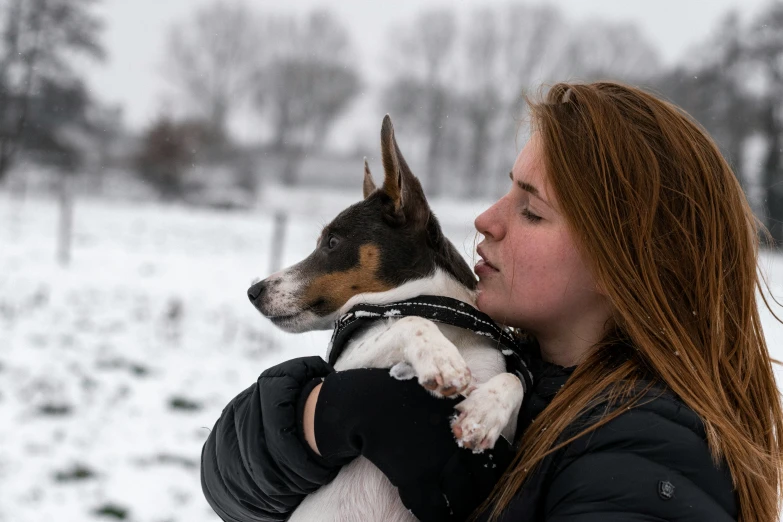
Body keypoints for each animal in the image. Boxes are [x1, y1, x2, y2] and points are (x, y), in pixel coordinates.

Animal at [248, 115, 524, 520]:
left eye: (332, 242)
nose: (254, 291)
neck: (444, 321)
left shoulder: (507, 437)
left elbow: (514, 381)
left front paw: (483, 413)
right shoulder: (341, 372)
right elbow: (409, 323)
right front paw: (441, 360)